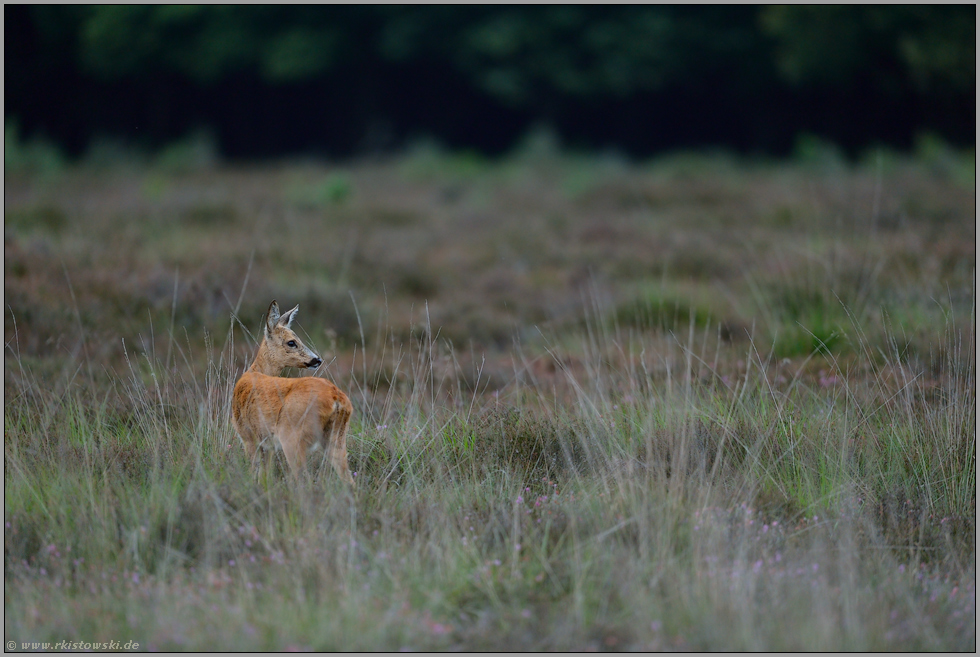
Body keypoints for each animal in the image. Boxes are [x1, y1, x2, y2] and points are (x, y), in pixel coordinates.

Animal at [232, 300, 354, 484]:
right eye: (291, 342)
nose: (317, 359)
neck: (254, 371)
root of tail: (336, 398)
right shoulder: (267, 444)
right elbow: (266, 476)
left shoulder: (248, 436)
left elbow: (254, 473)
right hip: (337, 437)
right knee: (349, 480)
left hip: (292, 438)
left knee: (304, 479)